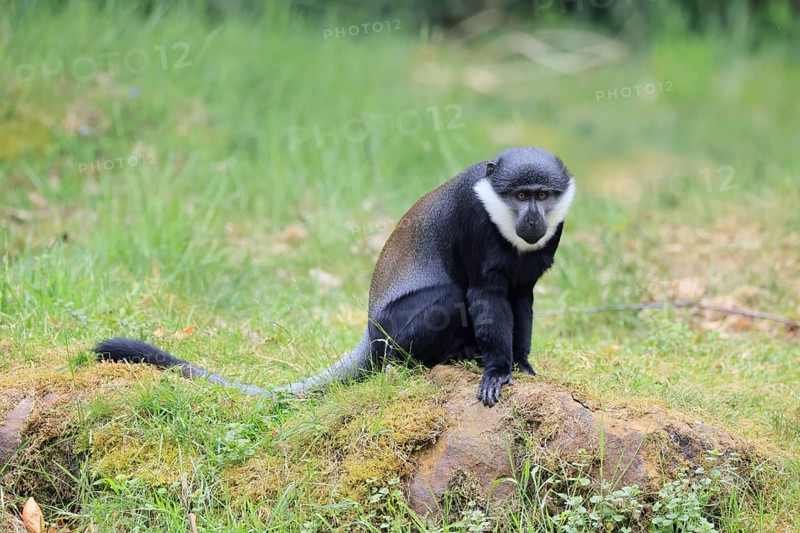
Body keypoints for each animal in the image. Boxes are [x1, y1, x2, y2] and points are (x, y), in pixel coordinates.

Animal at [95, 146, 575, 407]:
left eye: (543, 195)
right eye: (520, 195)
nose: (532, 219)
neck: (500, 213)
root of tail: (370, 334)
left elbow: (521, 298)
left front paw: (521, 365)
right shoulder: (475, 221)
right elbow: (484, 293)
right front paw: (496, 369)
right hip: (397, 331)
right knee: (447, 298)